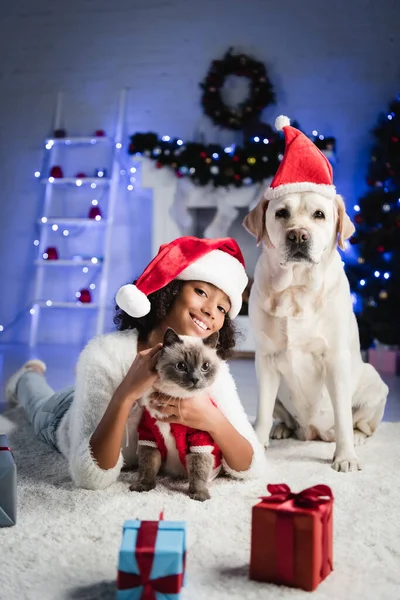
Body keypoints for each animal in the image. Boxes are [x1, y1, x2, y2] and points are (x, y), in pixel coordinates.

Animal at [133, 328, 223, 502]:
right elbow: (147, 465)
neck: (173, 399)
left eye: (205, 366)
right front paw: (144, 486)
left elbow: (198, 470)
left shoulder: (199, 440)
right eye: (181, 366)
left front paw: (199, 495)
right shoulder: (149, 436)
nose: (195, 379)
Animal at [244, 190, 388, 472]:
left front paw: (345, 456)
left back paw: (357, 437)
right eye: (281, 213)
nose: (298, 235)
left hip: (375, 383)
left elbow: (343, 416)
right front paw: (258, 443)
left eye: (319, 215)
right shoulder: (265, 360)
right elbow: (263, 411)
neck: (296, 288)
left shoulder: (335, 360)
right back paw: (281, 430)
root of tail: (312, 432)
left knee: (362, 424)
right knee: (282, 418)